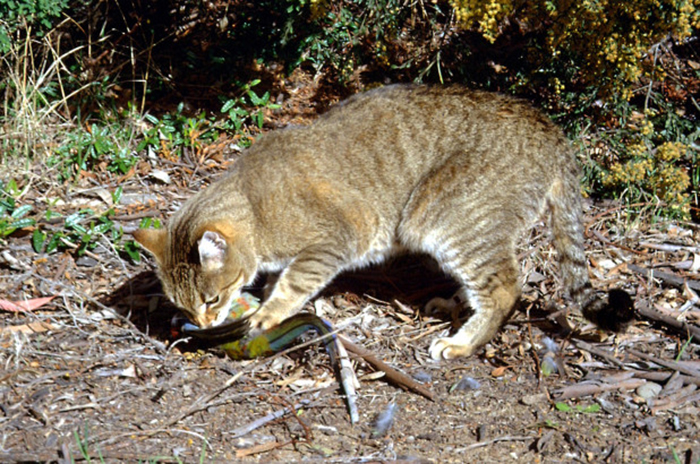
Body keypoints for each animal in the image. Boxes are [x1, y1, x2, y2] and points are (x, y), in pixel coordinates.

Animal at [134, 84, 632, 358]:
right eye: (184, 306)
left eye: (212, 298)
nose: (203, 322)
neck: (254, 206)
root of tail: (549, 128)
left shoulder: (334, 240)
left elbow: (293, 283)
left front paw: (268, 313)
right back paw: (454, 304)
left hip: (443, 218)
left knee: (506, 285)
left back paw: (464, 342)